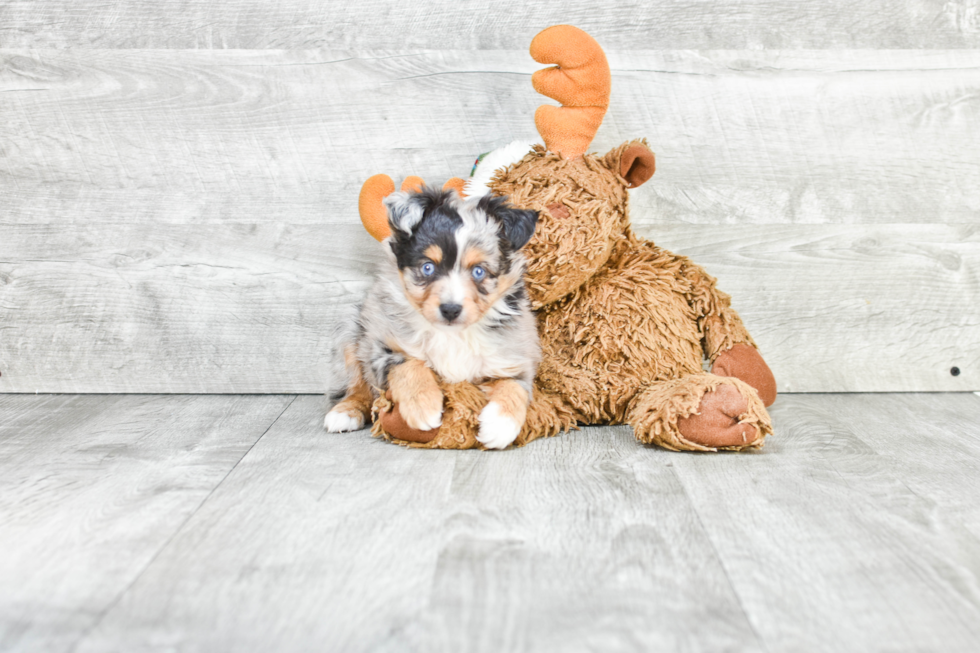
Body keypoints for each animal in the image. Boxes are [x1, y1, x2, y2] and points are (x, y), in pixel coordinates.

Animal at [326, 185, 540, 448]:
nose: (450, 309)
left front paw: (500, 426)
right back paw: (345, 412)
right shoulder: (379, 344)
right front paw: (423, 407)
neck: (453, 334)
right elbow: (409, 363)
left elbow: (515, 386)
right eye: (428, 267)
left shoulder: (514, 355)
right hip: (350, 331)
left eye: (479, 271)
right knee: (356, 385)